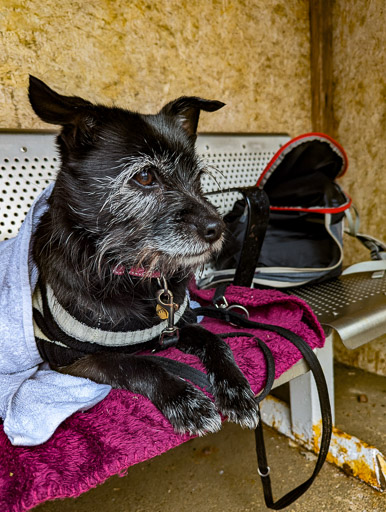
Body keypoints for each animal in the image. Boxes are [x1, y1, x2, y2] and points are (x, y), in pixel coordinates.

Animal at [28, 76, 260, 436]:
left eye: (197, 177)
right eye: (145, 176)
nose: (217, 228)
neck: (136, 275)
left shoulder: (175, 327)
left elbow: (217, 342)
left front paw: (236, 390)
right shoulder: (70, 359)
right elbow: (135, 364)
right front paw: (185, 400)